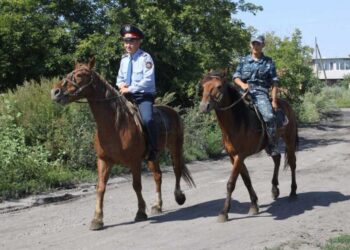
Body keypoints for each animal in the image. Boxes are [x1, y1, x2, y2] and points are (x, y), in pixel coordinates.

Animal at [51, 57, 196, 229]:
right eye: (69, 73)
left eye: (80, 75)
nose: (55, 92)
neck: (116, 124)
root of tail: (172, 112)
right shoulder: (104, 160)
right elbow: (100, 187)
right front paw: (97, 219)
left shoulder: (134, 161)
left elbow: (136, 185)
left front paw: (140, 212)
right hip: (153, 157)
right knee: (158, 176)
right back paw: (157, 205)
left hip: (175, 148)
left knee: (177, 170)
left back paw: (179, 197)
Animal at [200, 71, 298, 222]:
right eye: (203, 86)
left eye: (219, 86)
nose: (204, 106)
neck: (237, 121)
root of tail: (287, 105)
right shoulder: (233, 157)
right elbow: (246, 180)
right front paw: (254, 205)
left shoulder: (240, 156)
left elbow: (231, 183)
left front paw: (224, 212)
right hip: (269, 144)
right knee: (277, 158)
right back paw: (274, 190)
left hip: (289, 139)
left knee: (292, 163)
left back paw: (293, 192)